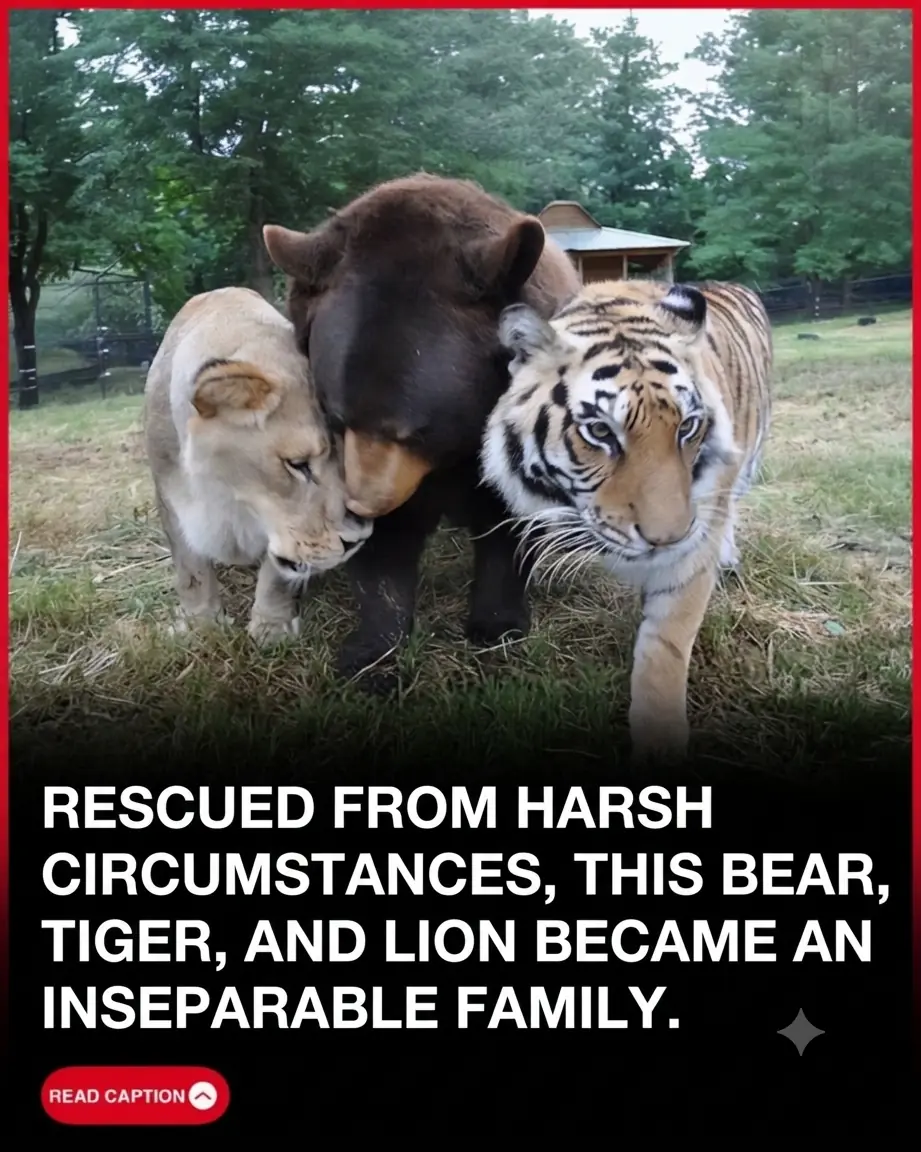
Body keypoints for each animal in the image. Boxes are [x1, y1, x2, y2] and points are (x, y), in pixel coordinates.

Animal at [480, 278, 772, 762]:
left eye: (687, 427)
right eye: (600, 432)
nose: (667, 538)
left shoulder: (691, 549)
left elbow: (664, 648)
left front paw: (659, 749)